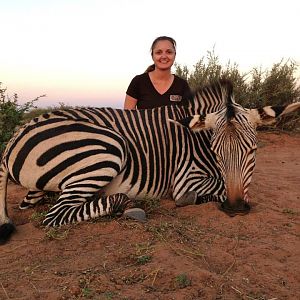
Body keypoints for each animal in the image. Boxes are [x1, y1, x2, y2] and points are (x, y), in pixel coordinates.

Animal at [0, 79, 300, 244]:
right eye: (216, 152)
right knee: (56, 215)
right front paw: (198, 199)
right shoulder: (185, 179)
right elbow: (211, 189)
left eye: (253, 150)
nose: (236, 208)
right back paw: (129, 205)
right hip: (108, 148)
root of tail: (16, 136)